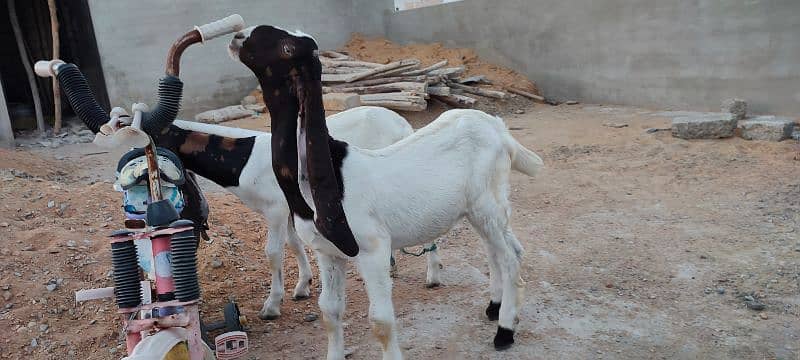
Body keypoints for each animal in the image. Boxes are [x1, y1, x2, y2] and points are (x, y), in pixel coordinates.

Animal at [231, 26, 544, 360]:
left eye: (286, 47)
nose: (236, 37)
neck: (333, 177)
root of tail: (498, 128)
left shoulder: (373, 249)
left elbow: (380, 320)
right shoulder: (327, 253)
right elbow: (329, 311)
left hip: (487, 205)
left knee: (509, 258)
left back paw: (505, 330)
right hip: (481, 209)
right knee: (502, 250)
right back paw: (496, 306)